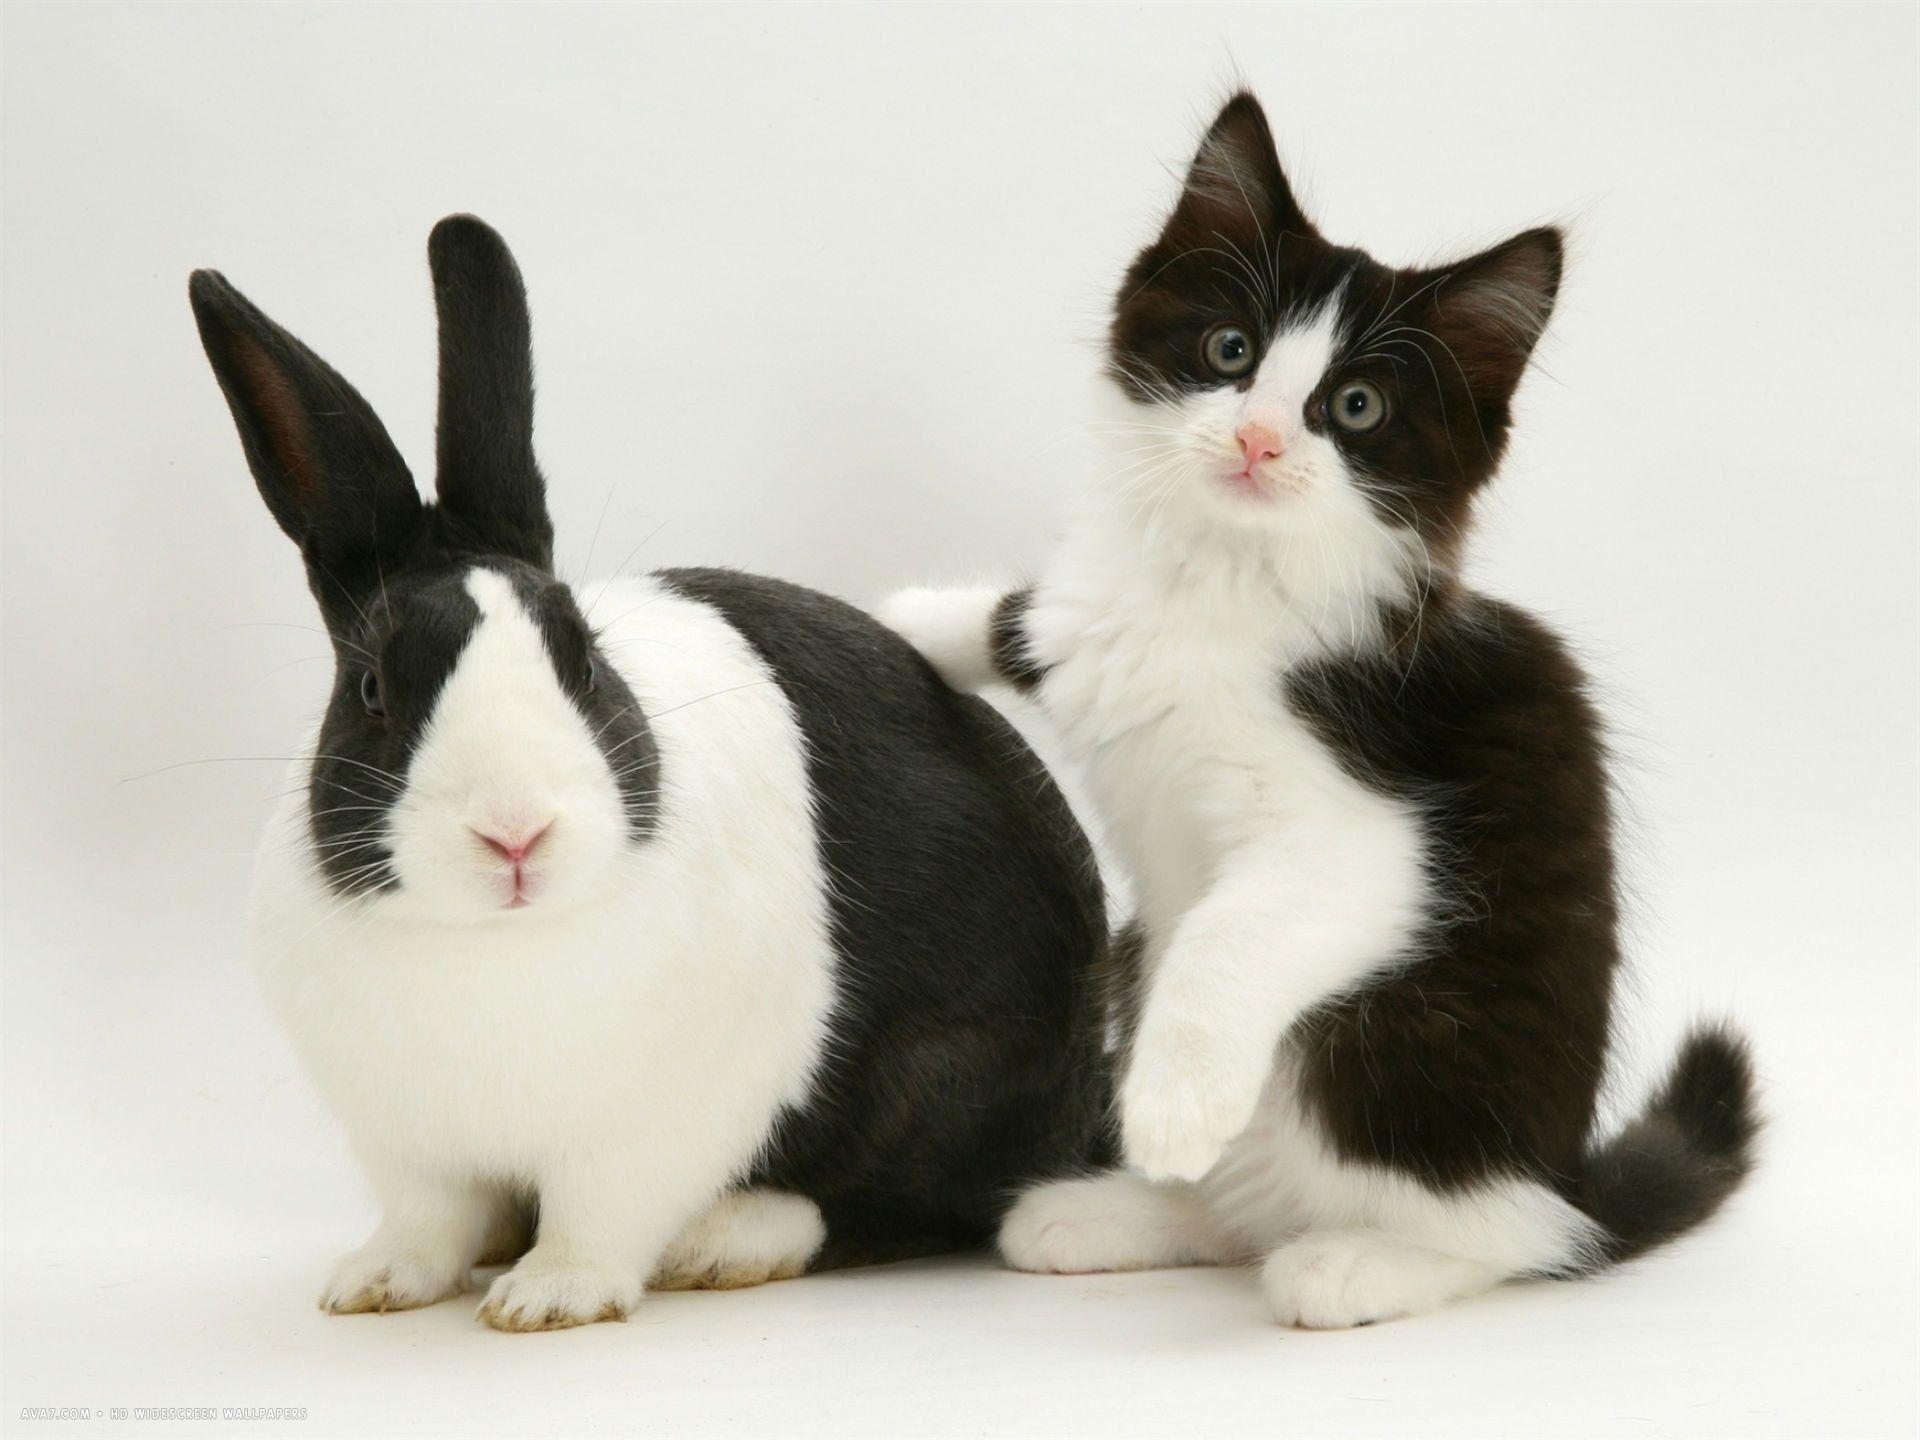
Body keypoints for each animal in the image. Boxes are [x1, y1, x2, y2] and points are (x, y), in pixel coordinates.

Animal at [189, 214, 1114, 1332]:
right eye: (372, 689)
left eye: (582, 660)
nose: (515, 834)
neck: (492, 941)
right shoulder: (409, 1144)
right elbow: (426, 1219)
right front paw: (375, 1283)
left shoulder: (650, 1131)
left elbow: (603, 1214)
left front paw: (548, 1298)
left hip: (953, 1065)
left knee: (917, 1200)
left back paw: (726, 1240)